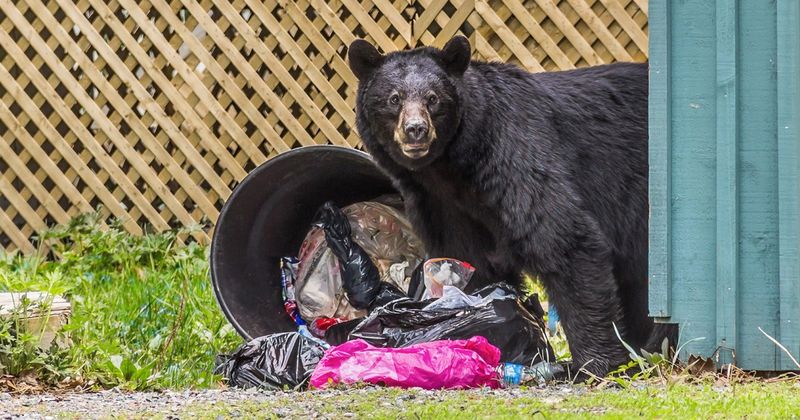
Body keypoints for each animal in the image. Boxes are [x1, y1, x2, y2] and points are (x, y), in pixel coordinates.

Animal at [347, 35, 670, 379]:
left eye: (433, 98)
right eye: (394, 99)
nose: (416, 129)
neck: (452, 168)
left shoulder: (515, 156)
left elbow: (562, 237)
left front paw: (598, 362)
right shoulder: (443, 205)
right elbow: (468, 257)